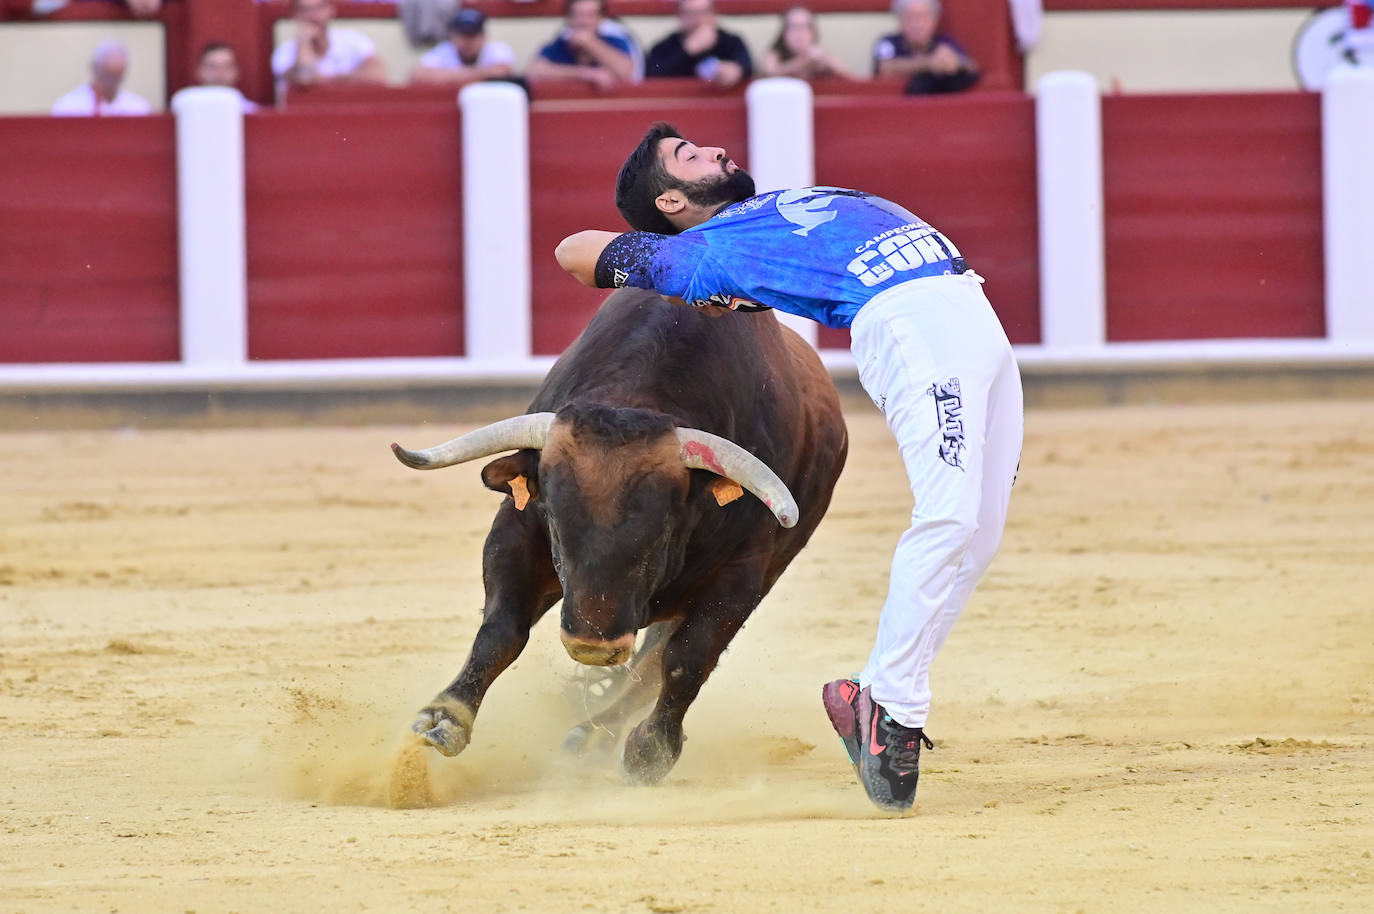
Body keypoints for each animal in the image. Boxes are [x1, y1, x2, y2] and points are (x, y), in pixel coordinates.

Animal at [392, 287, 846, 786]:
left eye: (663, 529)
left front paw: (651, 751)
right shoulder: (514, 532)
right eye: (554, 520)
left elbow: (686, 660)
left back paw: (592, 736)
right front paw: (444, 719)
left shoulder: (739, 578)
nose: (591, 648)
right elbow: (501, 629)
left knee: (650, 668)